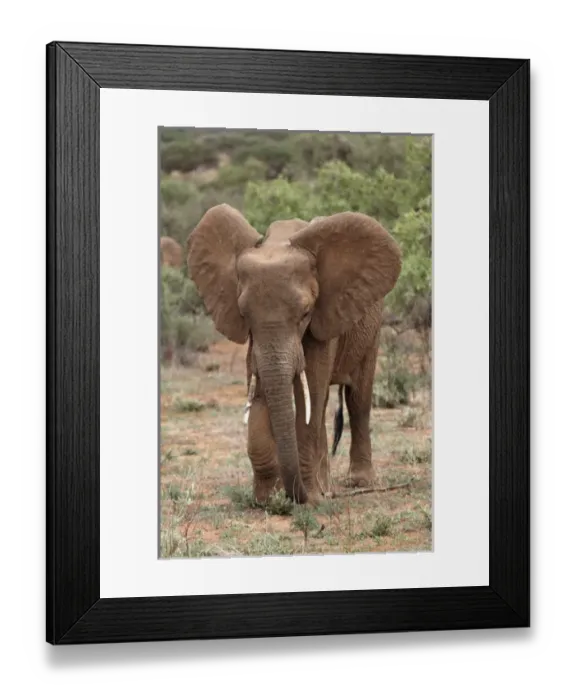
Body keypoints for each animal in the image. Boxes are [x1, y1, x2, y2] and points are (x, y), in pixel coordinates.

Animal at [186, 204, 402, 506]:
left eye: (305, 313)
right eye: (244, 315)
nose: (293, 495)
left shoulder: (325, 314)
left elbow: (311, 386)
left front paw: (308, 500)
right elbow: (262, 390)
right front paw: (267, 500)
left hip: (373, 326)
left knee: (357, 398)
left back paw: (356, 483)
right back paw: (326, 487)